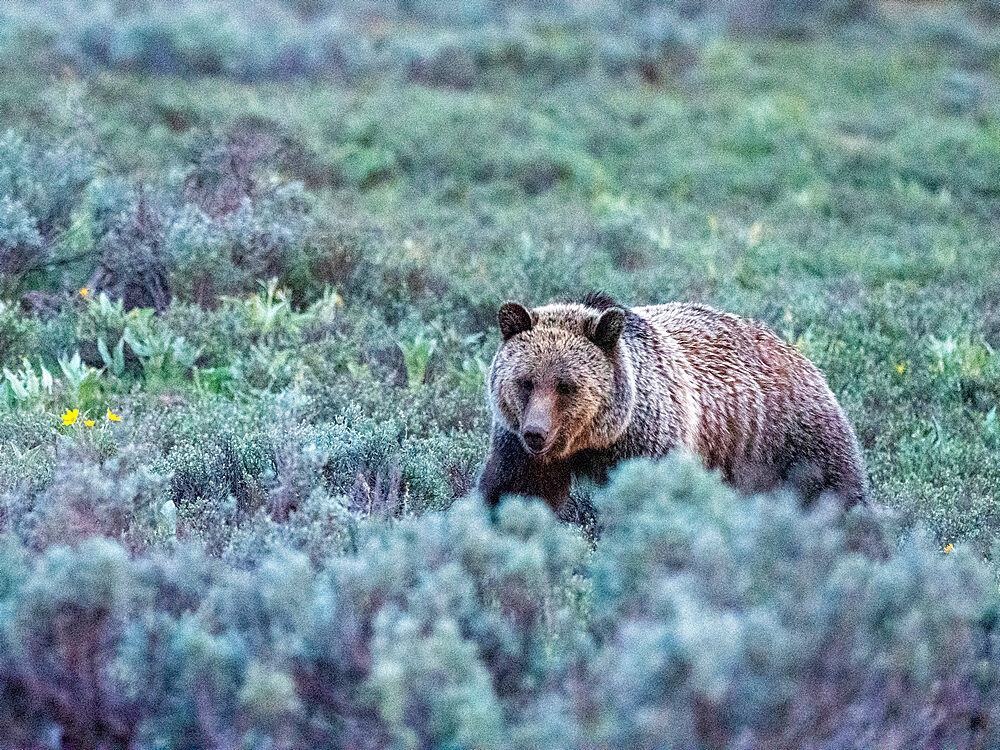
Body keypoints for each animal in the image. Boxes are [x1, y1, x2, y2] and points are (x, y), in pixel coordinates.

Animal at [476, 296, 868, 516]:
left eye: (565, 386)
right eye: (525, 381)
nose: (536, 433)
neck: (594, 441)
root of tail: (796, 351)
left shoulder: (649, 442)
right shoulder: (519, 447)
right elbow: (516, 491)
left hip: (793, 438)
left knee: (837, 489)